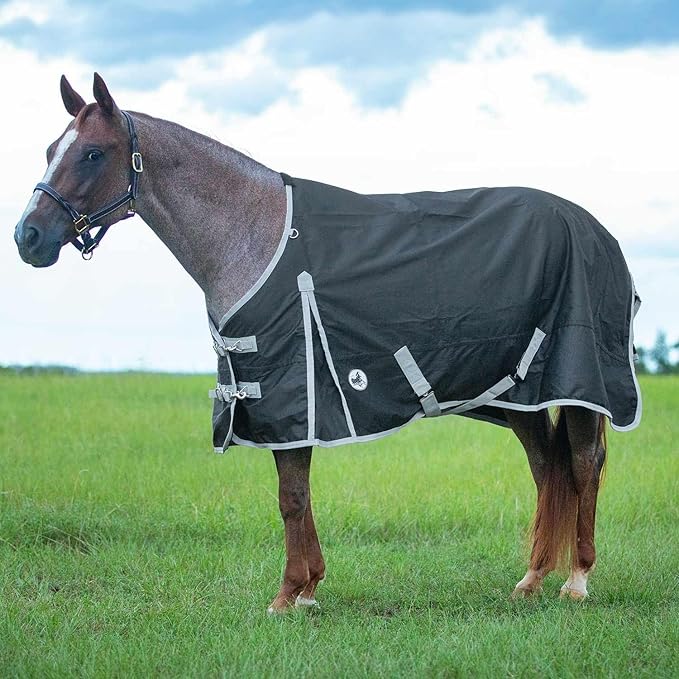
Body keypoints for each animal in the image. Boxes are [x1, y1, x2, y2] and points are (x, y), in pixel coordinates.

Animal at [14, 73, 640, 612]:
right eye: (49, 149)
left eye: (93, 153)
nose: (28, 237)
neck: (253, 233)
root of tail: (597, 231)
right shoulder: (287, 403)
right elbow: (301, 494)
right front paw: (310, 587)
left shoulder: (287, 394)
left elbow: (291, 497)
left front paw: (288, 594)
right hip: (519, 398)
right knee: (546, 467)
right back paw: (532, 579)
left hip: (580, 385)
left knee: (581, 464)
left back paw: (577, 580)